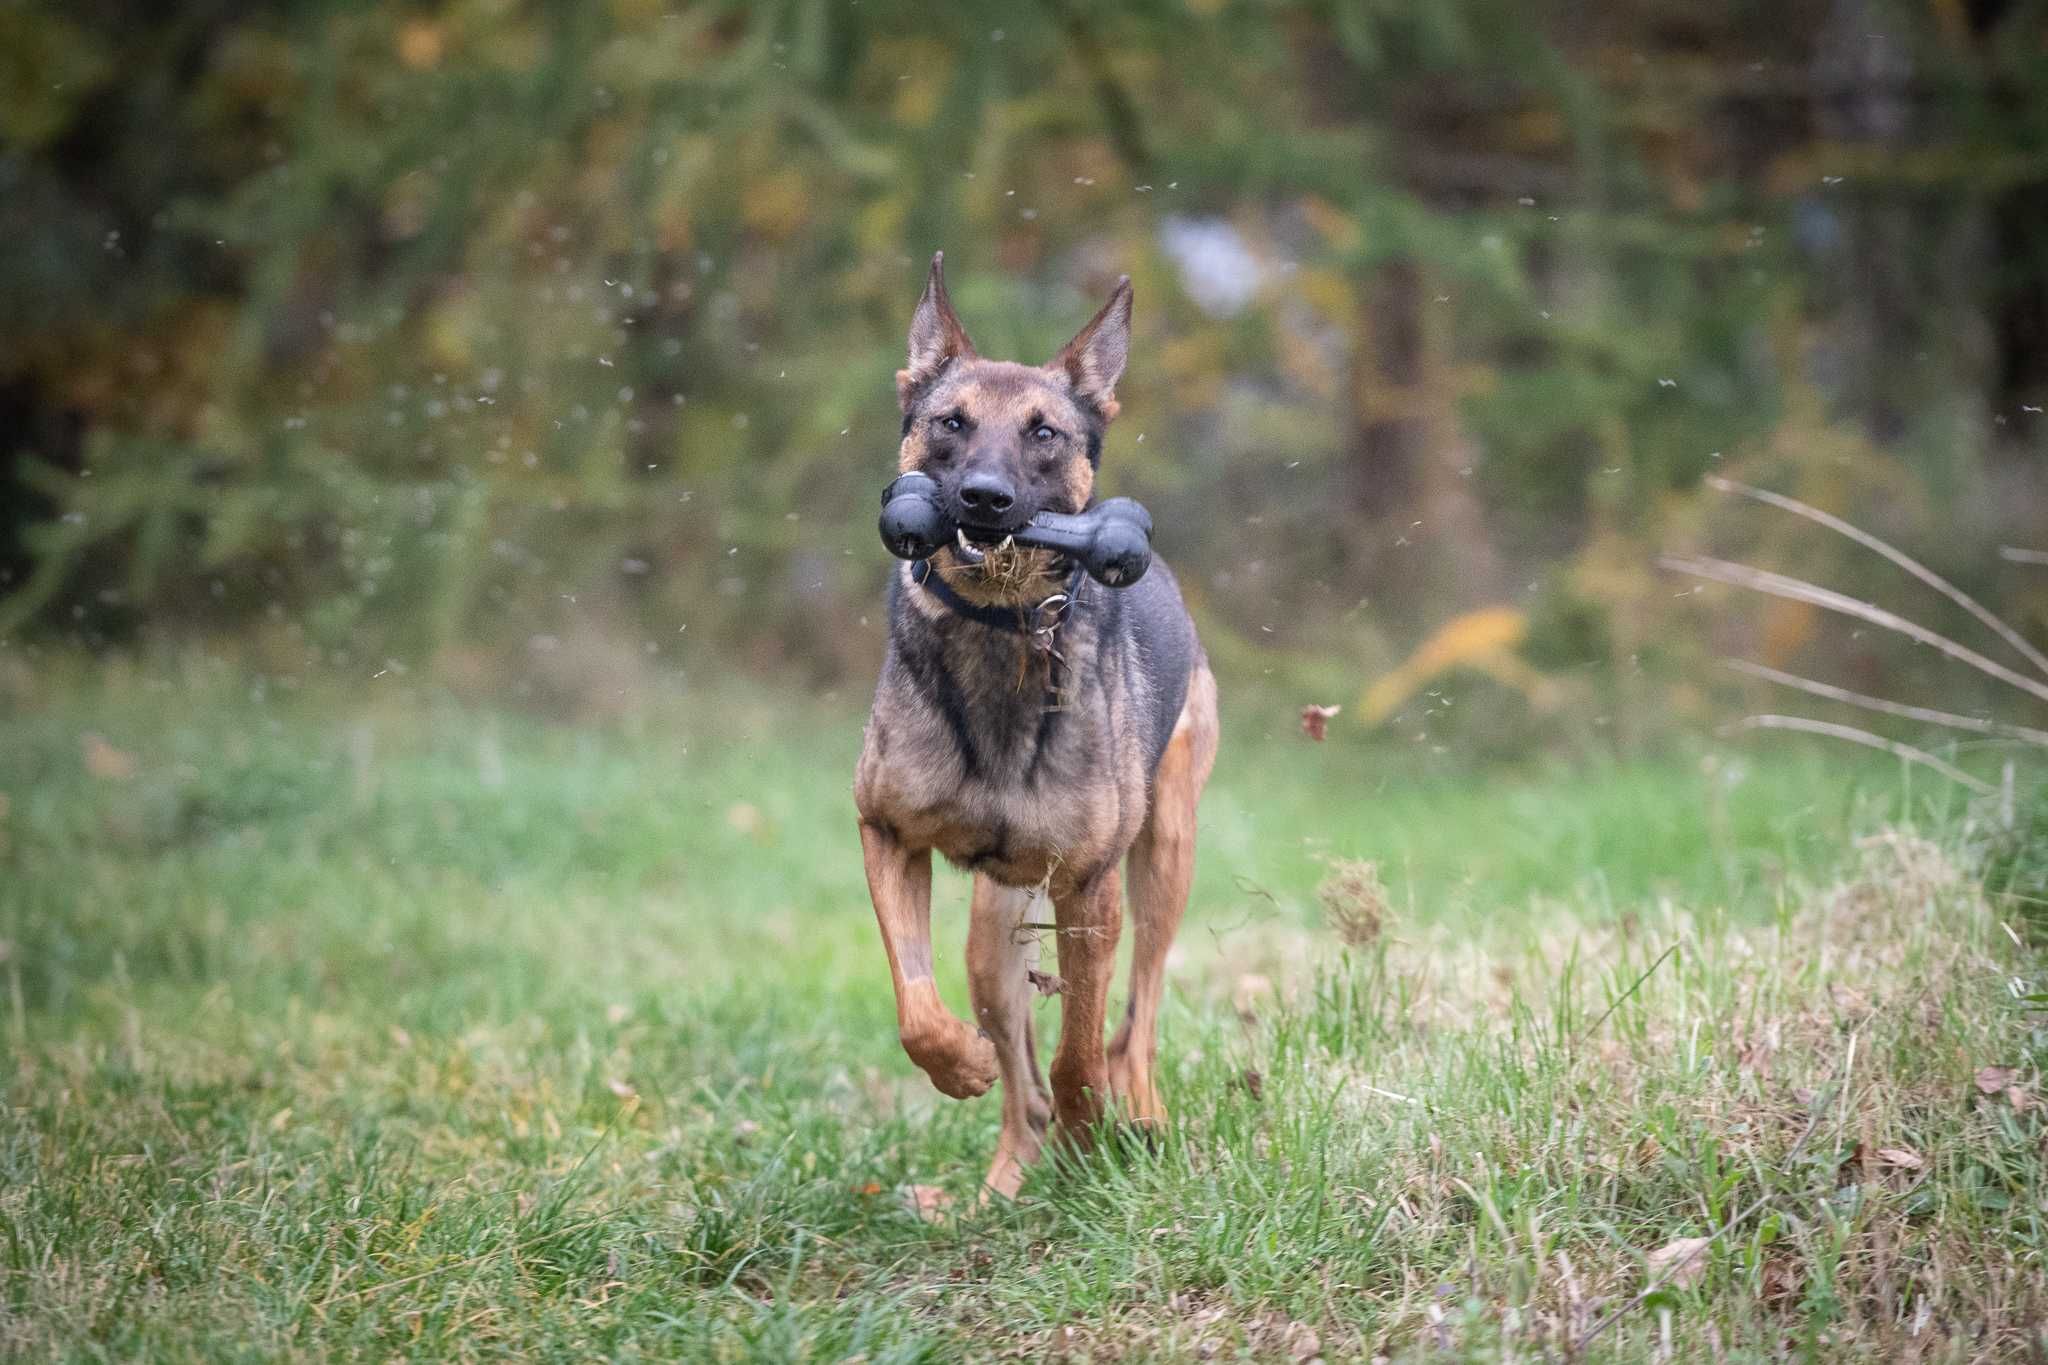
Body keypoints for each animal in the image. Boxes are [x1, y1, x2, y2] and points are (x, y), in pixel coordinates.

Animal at [851, 253, 1212, 1195]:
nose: (984, 497)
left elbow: (1079, 1050)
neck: (997, 626)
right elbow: (915, 1006)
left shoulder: (1089, 888)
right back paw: (1001, 1185)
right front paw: (960, 1064)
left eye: (1044, 432)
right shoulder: (884, 831)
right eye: (950, 422)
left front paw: (1095, 1145)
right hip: (993, 934)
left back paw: (1137, 1118)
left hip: (1165, 858)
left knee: (1135, 1022)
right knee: (1023, 1087)